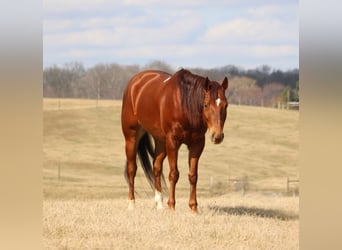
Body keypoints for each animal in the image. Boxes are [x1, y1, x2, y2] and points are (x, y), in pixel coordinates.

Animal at [121, 69, 228, 213]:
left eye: (225, 105)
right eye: (206, 105)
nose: (217, 136)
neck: (184, 105)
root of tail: (134, 82)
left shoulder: (197, 144)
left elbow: (193, 176)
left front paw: (193, 207)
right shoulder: (173, 142)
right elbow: (174, 174)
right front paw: (171, 205)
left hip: (161, 141)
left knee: (156, 167)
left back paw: (159, 204)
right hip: (131, 137)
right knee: (132, 169)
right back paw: (131, 204)